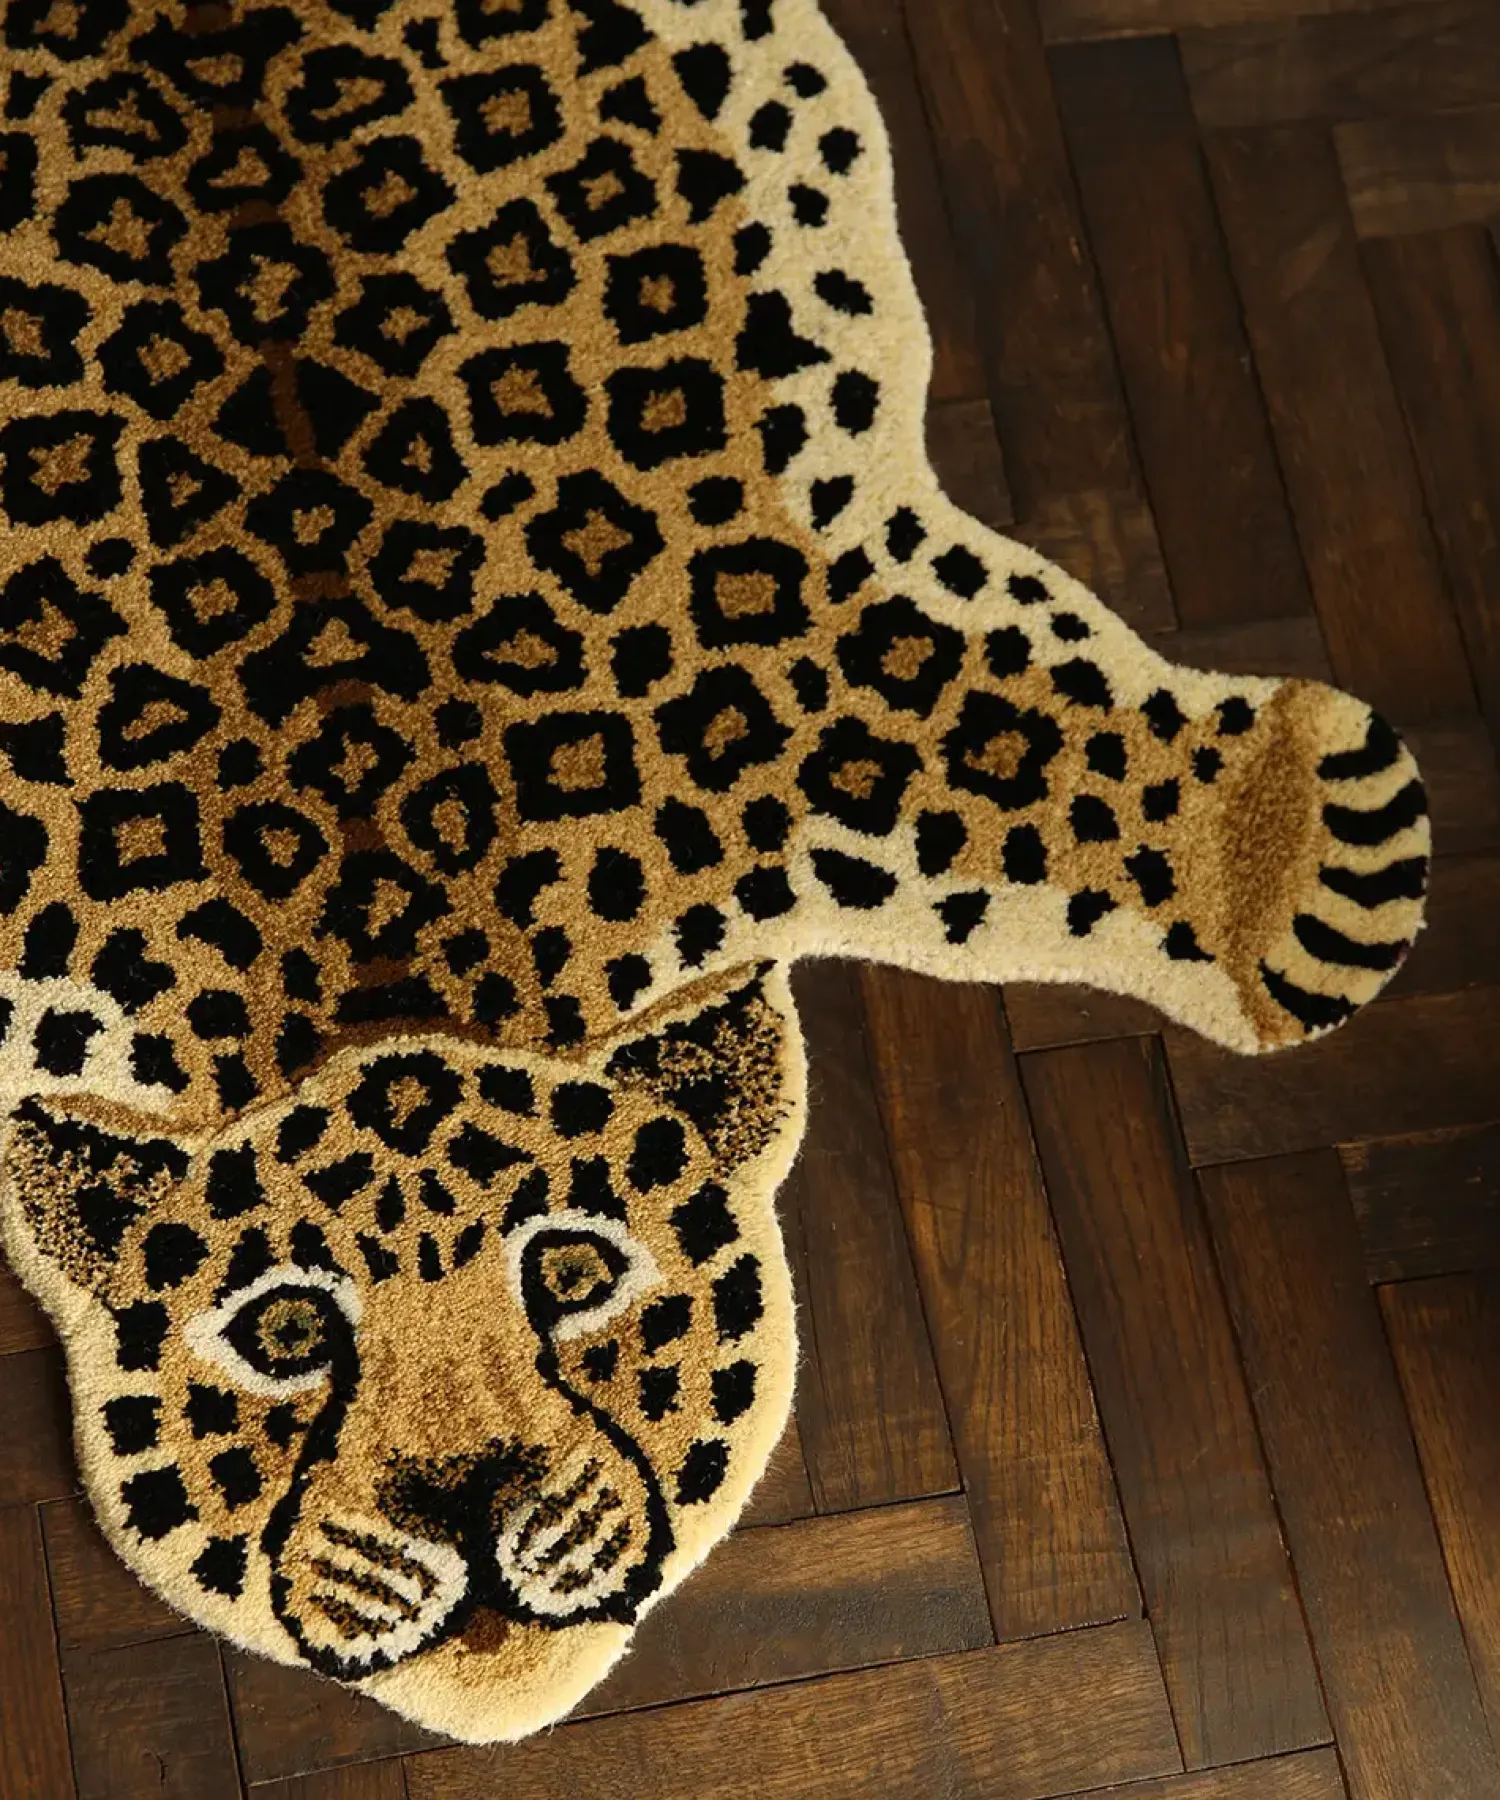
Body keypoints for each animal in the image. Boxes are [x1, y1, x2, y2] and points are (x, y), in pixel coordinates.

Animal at [0, 0, 1428, 1743]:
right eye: (283, 1329)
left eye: (571, 1269)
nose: (463, 1496)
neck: (373, 922)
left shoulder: (756, 670)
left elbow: (978, 730)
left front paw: (1303, 845)